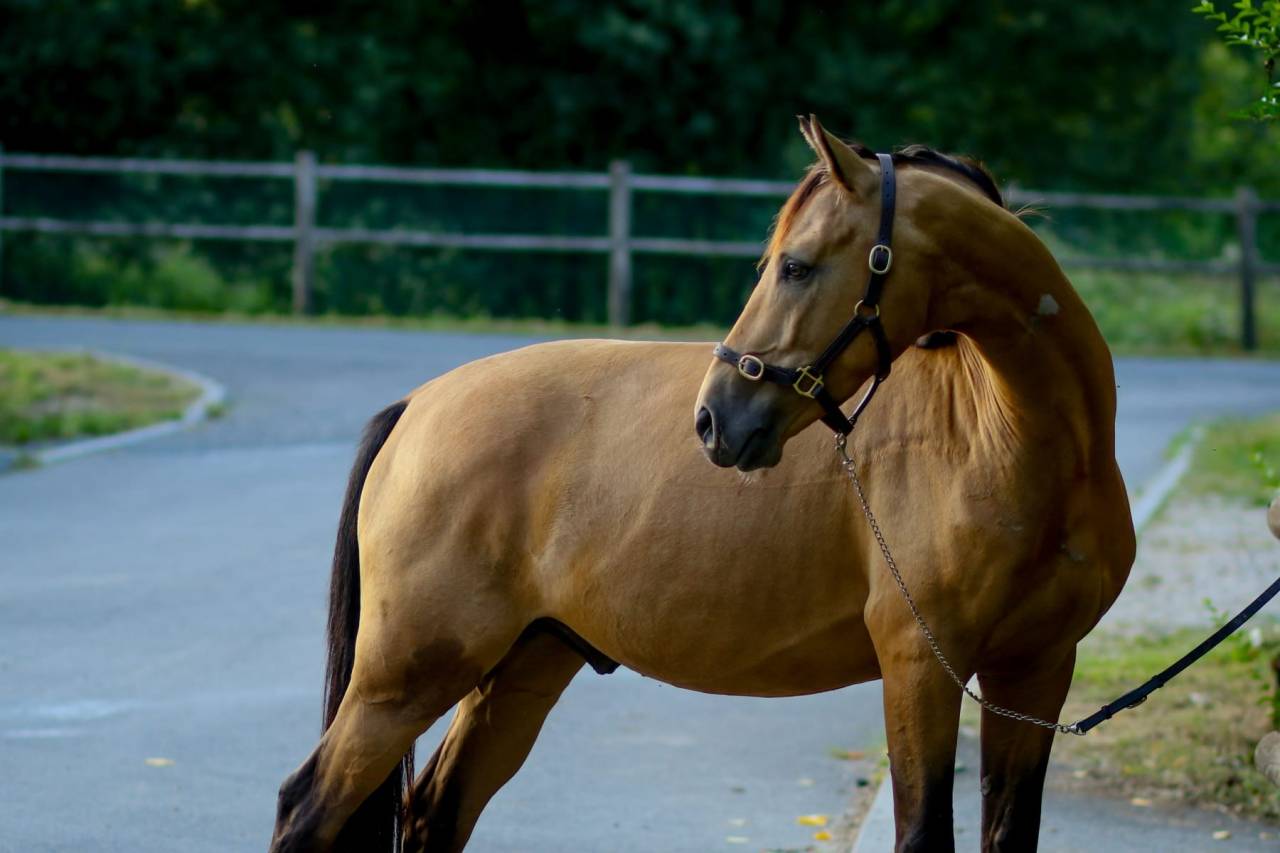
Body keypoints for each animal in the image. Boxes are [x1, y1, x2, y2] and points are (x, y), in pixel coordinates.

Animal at [268, 115, 1135, 853]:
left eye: (796, 265)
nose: (716, 418)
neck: (1003, 440)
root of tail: (419, 404)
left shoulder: (1035, 669)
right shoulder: (922, 666)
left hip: (518, 670)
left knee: (434, 814)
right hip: (404, 677)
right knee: (308, 805)